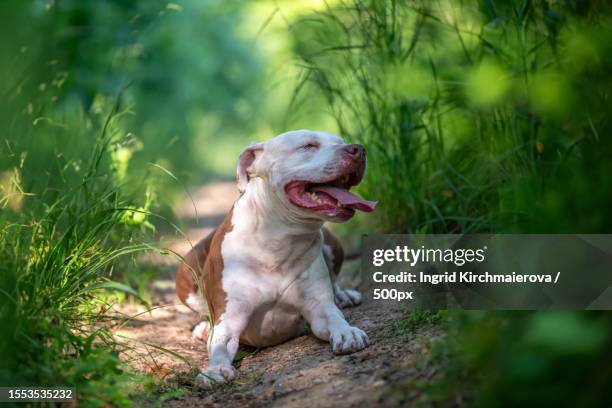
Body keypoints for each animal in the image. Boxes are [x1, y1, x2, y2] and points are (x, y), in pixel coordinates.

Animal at [175, 129, 378, 388]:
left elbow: (333, 317)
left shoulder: (318, 308)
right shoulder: (230, 318)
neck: (276, 243)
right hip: (186, 267)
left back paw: (343, 295)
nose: (358, 149)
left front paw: (347, 331)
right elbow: (219, 344)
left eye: (341, 142)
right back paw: (202, 326)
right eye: (308, 145)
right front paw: (216, 369)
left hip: (332, 242)